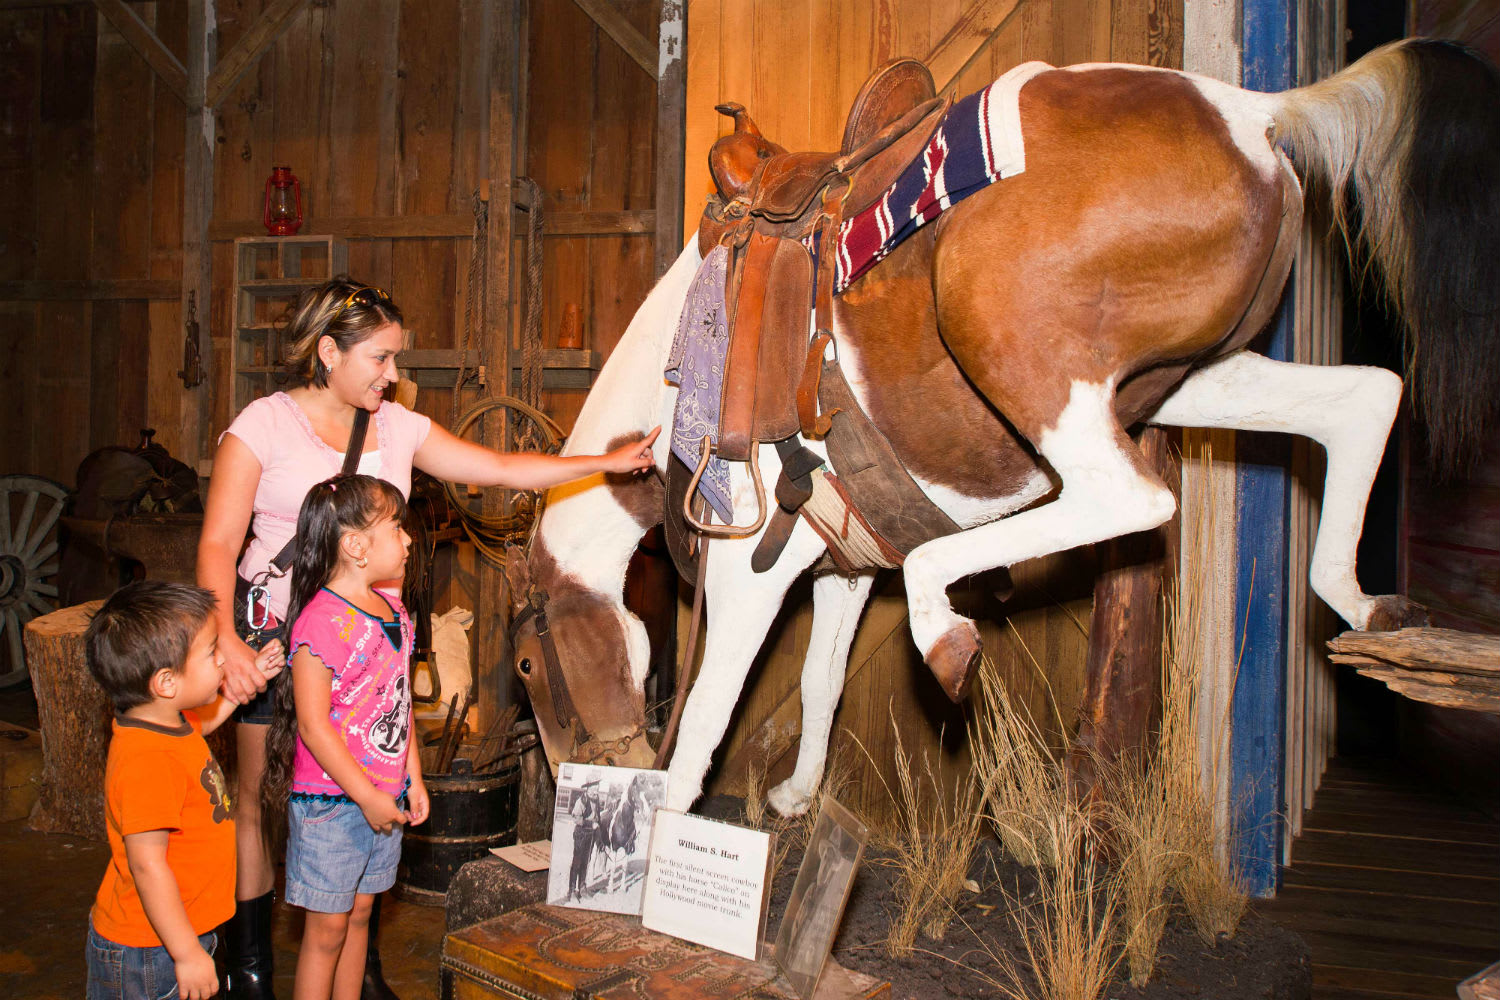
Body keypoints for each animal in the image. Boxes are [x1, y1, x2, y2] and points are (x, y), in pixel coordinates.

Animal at [504, 41, 1500, 821]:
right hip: (1192, 381)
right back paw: (1366, 604)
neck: (677, 373)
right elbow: (822, 679)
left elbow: (708, 717)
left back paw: (946, 627)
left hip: (1018, 351)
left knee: (1127, 499)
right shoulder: (841, 560)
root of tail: (1256, 115)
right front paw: (793, 796)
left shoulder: (752, 565)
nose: (575, 782)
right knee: (1364, 399)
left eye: (525, 668)